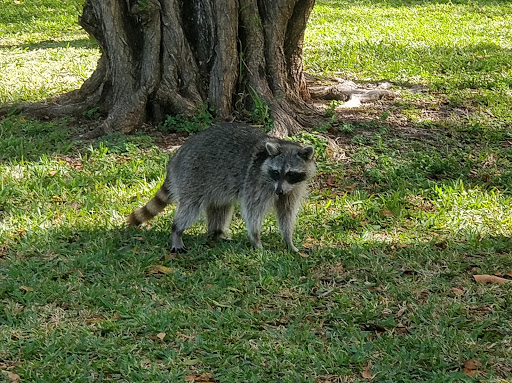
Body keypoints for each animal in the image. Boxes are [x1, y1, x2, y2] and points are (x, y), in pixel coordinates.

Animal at [128, 123, 314, 254]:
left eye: (290, 174)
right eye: (276, 172)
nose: (279, 192)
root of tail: (177, 156)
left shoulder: (293, 188)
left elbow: (286, 213)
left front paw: (288, 240)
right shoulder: (255, 181)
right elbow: (253, 211)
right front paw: (256, 239)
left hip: (216, 186)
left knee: (220, 207)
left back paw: (216, 233)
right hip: (192, 175)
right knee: (190, 208)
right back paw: (177, 231)